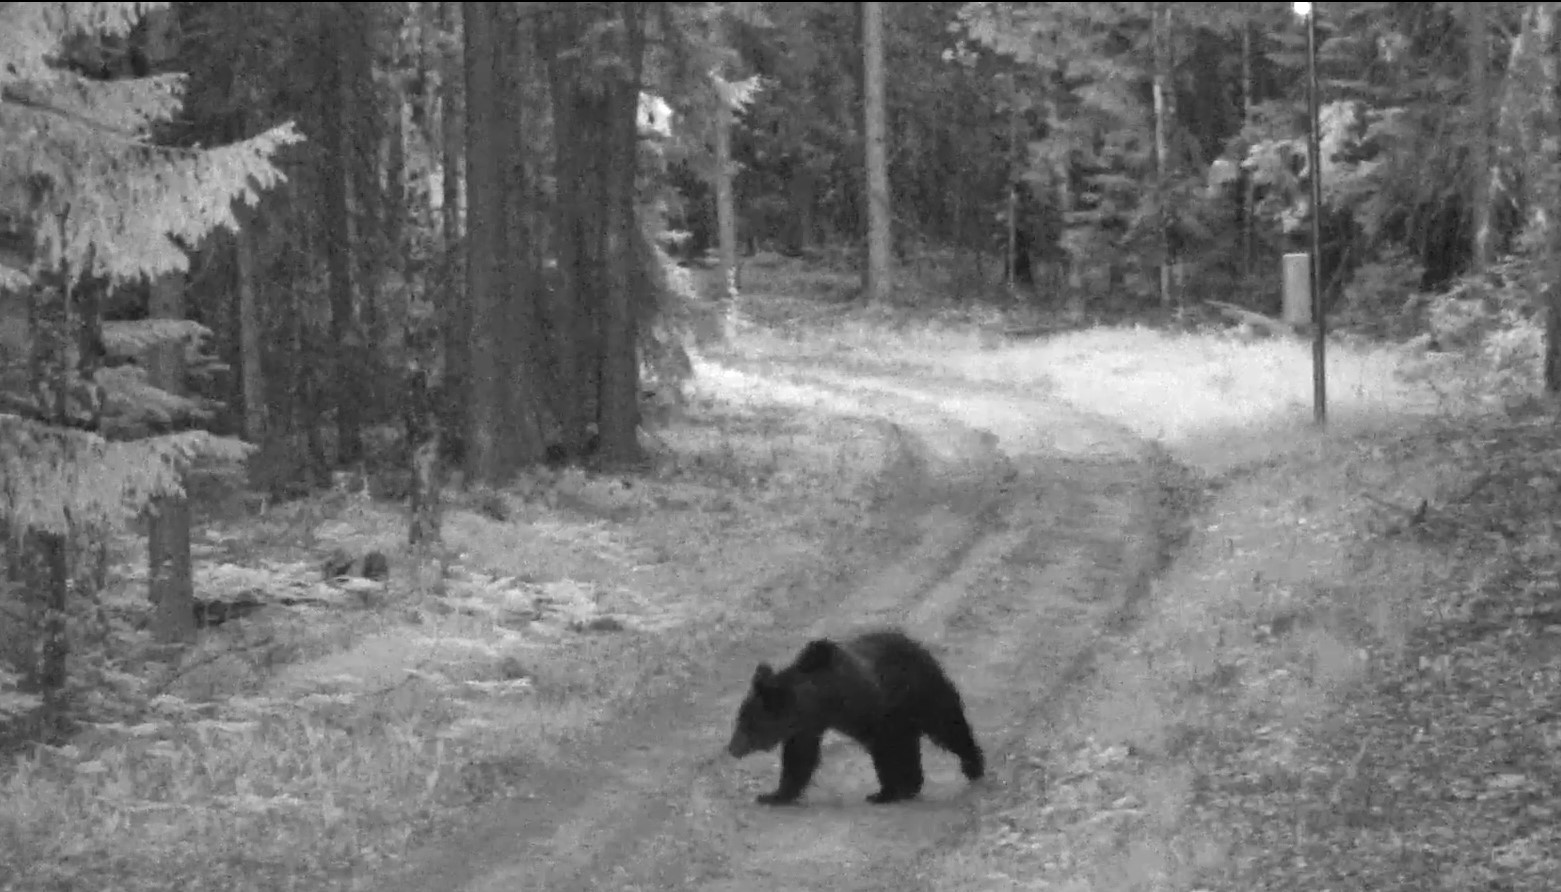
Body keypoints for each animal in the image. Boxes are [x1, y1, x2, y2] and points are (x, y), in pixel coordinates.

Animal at [724, 627, 980, 812]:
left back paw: (973, 766)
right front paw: (774, 795)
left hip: (923, 693)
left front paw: (887, 791)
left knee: (948, 726)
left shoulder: (874, 712)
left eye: (748, 723)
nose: (732, 748)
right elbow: (799, 759)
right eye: (740, 719)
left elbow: (886, 751)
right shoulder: (808, 727)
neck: (824, 699)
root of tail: (917, 646)